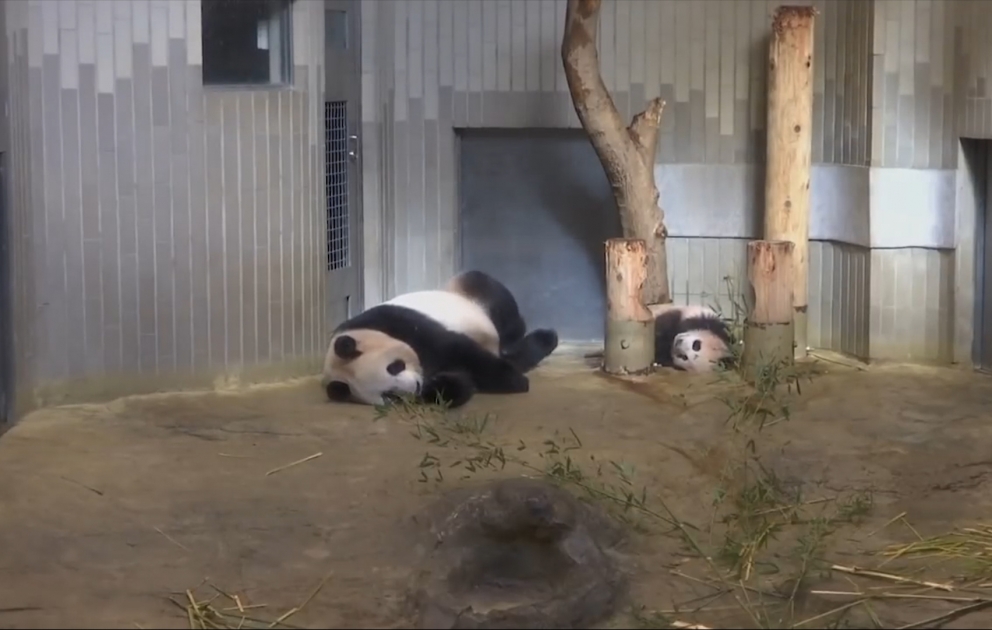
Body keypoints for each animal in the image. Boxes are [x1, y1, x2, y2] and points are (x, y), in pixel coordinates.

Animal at [322, 270, 560, 409]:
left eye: (394, 367)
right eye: (390, 395)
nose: (415, 386)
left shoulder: (403, 325)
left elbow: (461, 351)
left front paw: (515, 381)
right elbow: (457, 384)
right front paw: (443, 385)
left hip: (472, 298)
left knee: (504, 315)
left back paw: (544, 338)